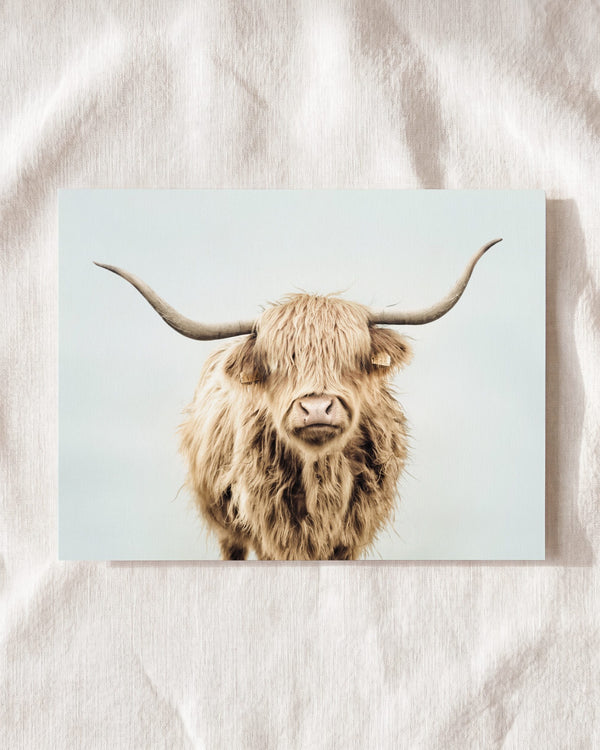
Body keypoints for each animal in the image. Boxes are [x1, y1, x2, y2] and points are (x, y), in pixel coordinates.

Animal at [96, 238, 501, 560]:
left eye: (351, 359)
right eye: (278, 364)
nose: (317, 408)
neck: (321, 478)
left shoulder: (350, 537)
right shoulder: (271, 532)